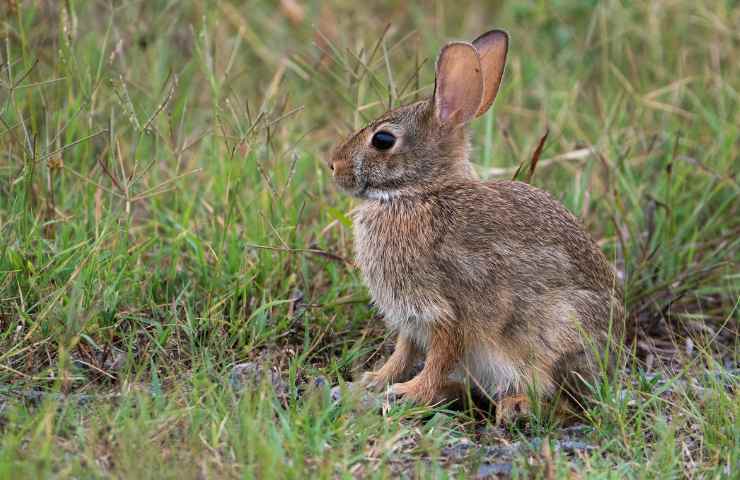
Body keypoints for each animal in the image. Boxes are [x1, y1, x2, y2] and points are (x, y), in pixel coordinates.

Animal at [330, 30, 624, 420]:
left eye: (382, 140)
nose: (334, 165)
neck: (420, 193)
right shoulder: (412, 318)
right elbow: (403, 353)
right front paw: (372, 382)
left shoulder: (450, 311)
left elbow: (438, 359)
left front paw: (408, 393)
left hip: (554, 333)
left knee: (556, 399)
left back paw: (515, 406)